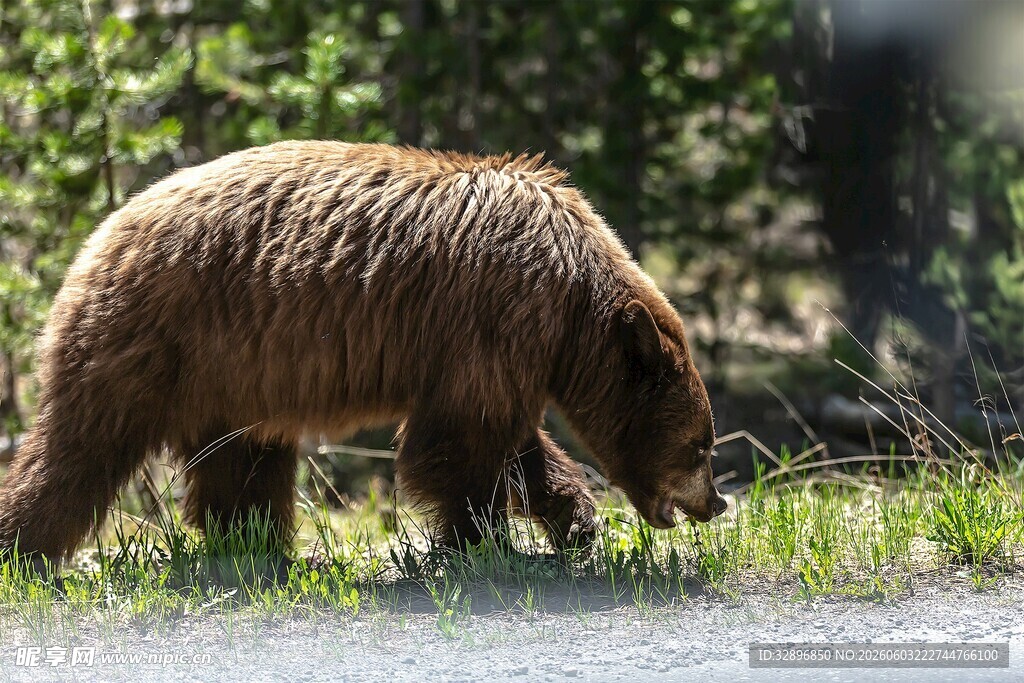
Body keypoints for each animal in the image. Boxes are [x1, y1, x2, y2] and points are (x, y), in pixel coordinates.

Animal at [0, 141, 726, 565]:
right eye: (701, 445)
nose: (716, 504)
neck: (573, 301)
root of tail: (101, 235)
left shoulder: (507, 343)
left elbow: (511, 439)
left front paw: (572, 520)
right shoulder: (499, 312)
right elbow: (460, 440)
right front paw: (479, 539)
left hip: (231, 372)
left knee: (243, 460)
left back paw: (260, 546)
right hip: (155, 336)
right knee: (80, 449)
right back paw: (25, 549)